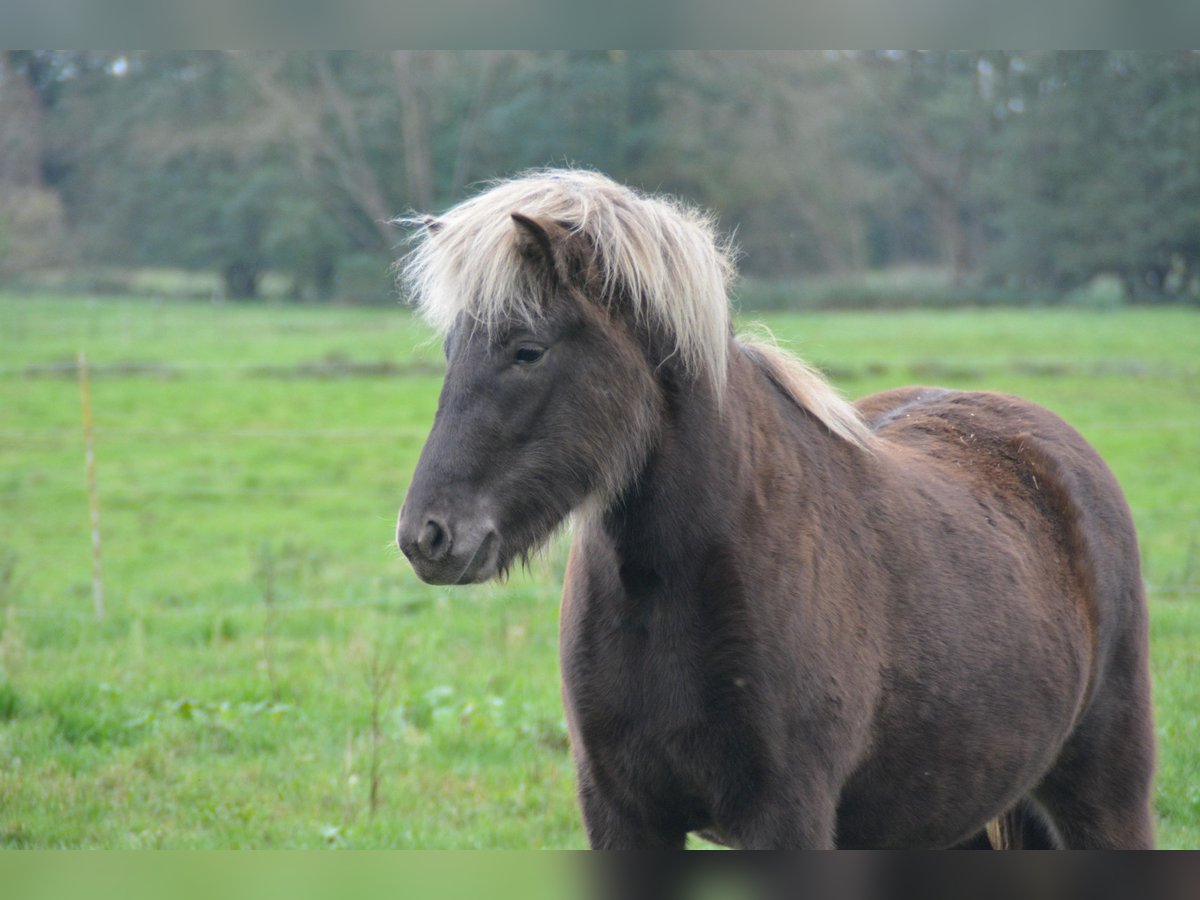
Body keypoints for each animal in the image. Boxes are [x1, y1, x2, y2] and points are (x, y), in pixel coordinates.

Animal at [395, 169, 1155, 849]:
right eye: (451, 349)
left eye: (528, 350)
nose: (425, 536)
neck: (674, 586)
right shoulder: (622, 815)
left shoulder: (787, 815)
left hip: (1104, 794)